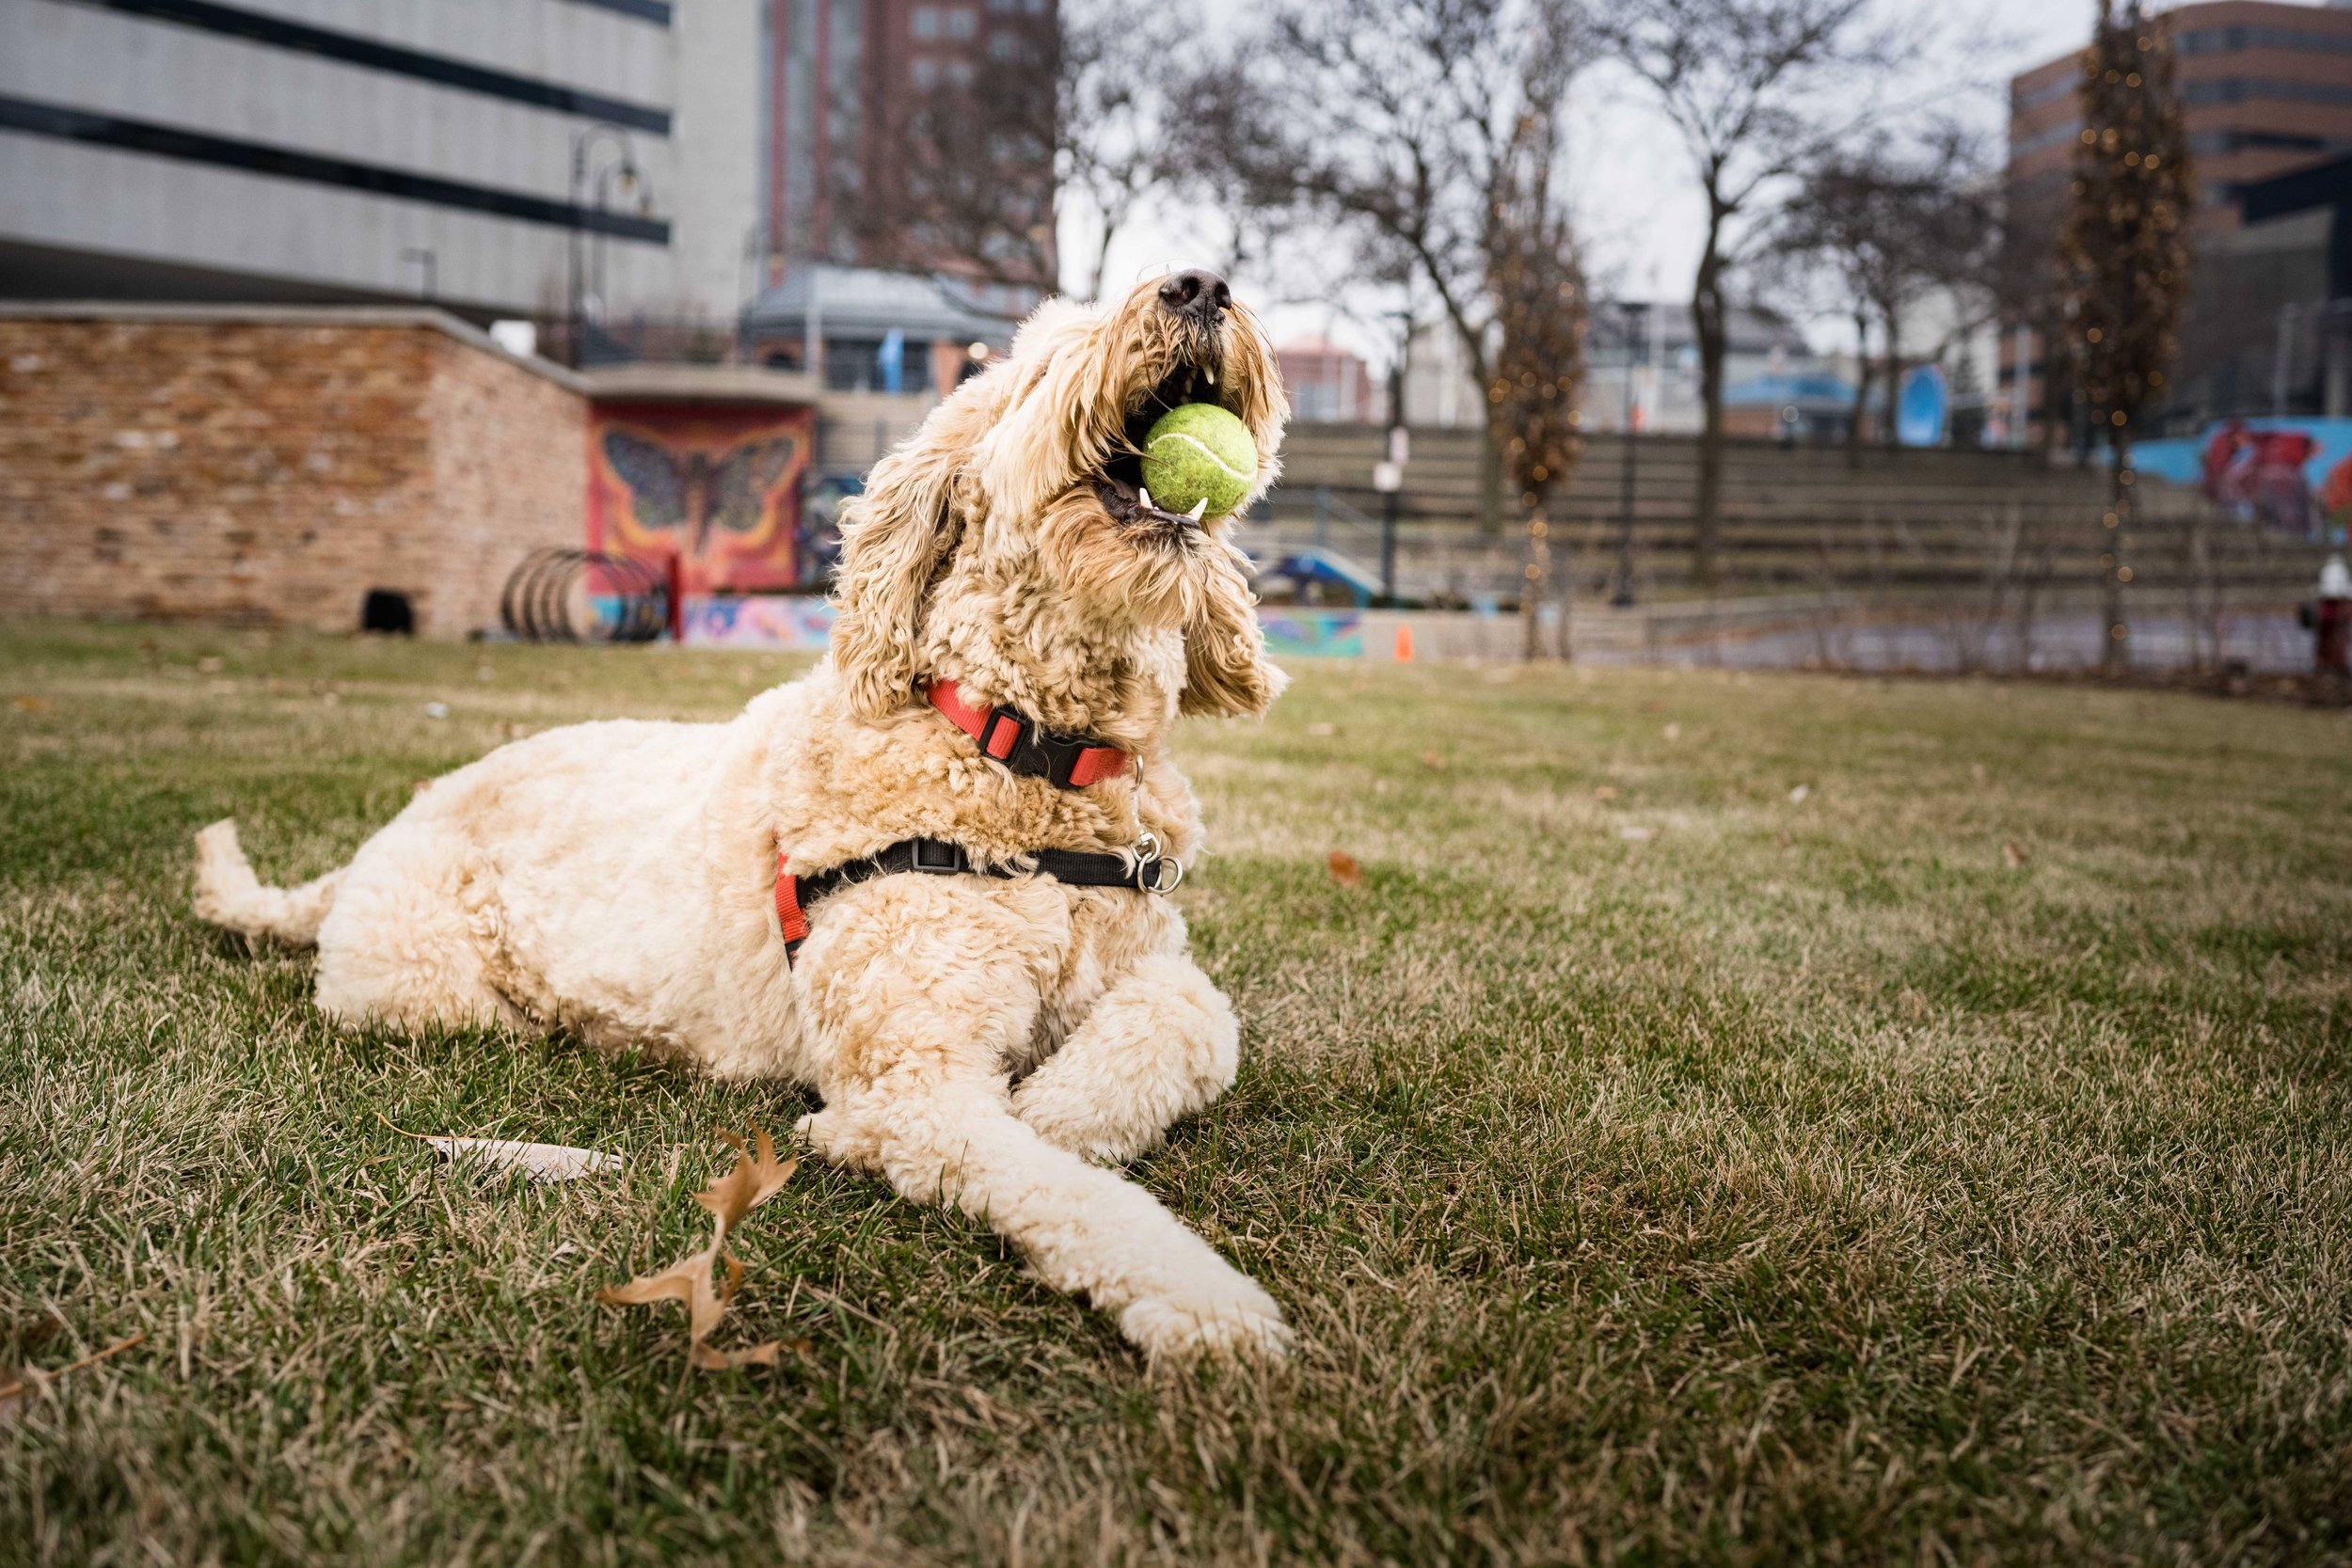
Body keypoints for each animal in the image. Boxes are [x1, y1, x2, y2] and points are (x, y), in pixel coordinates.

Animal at [199, 270, 1298, 1363]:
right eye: (1039, 360)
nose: (1200, 286)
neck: (1021, 753)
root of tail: (385, 832)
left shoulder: (1138, 954)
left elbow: (1196, 1020)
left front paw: (1061, 1102)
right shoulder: (914, 1078)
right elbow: (1056, 1183)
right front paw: (1198, 1294)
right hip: (428, 988)